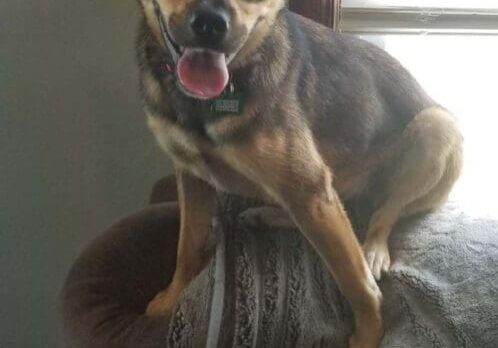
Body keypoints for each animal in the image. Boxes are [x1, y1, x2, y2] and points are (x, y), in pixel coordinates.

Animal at [135, 1, 462, 346]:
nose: (210, 24)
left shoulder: (309, 185)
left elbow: (357, 283)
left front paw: (369, 334)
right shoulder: (191, 174)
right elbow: (187, 248)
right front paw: (171, 299)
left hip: (436, 125)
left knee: (383, 213)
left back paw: (373, 250)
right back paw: (268, 215)